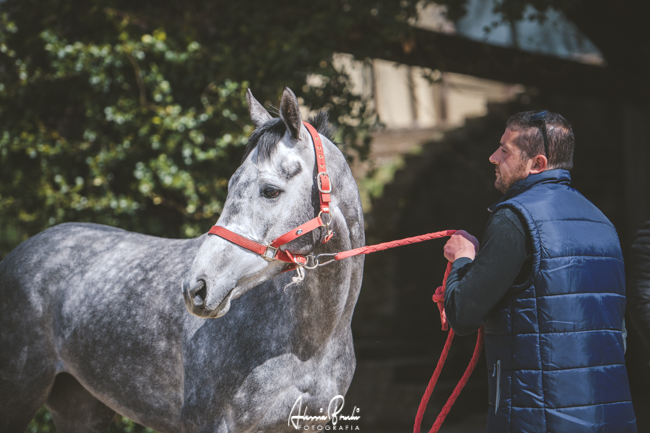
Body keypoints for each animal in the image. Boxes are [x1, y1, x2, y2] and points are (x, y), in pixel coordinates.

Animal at [0, 88, 365, 433]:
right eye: (231, 183)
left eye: (270, 190)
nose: (197, 288)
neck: (309, 344)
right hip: (18, 397)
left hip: (81, 407)